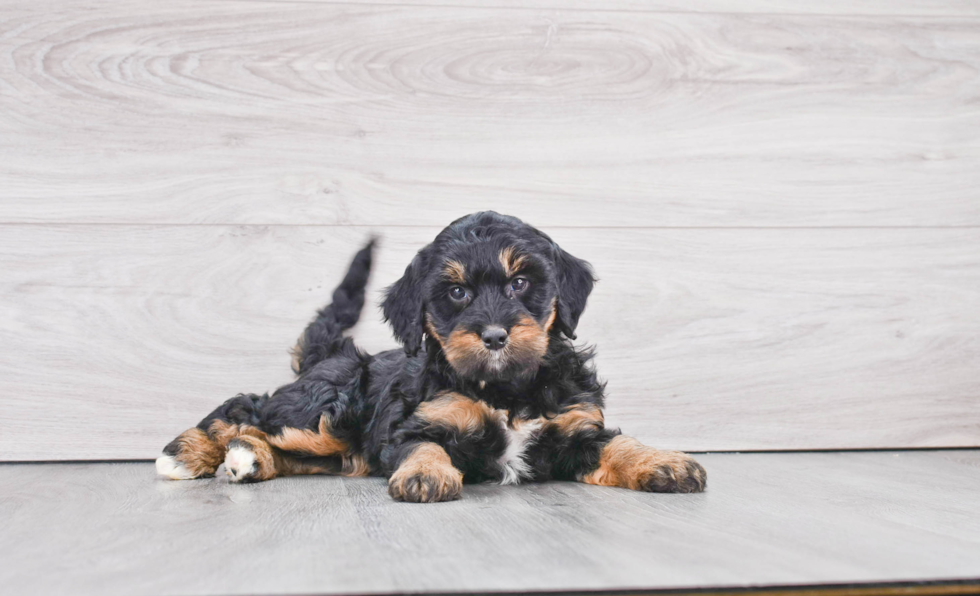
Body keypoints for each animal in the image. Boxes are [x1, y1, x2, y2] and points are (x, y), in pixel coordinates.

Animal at [155, 212, 704, 500]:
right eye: (457, 293)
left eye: (520, 283)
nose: (495, 335)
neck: (505, 388)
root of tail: (330, 357)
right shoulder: (419, 421)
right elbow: (422, 445)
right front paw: (426, 474)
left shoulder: (575, 427)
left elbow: (616, 443)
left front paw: (664, 462)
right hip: (325, 411)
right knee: (244, 410)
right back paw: (187, 454)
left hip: (333, 446)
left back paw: (249, 460)